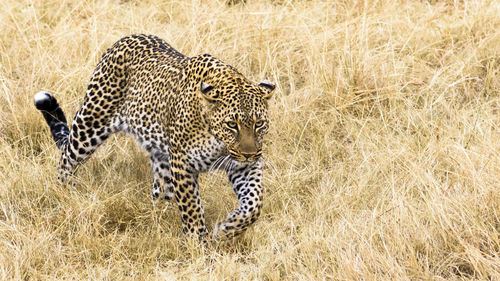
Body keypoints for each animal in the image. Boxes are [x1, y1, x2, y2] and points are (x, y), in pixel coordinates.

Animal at [34, 33, 278, 241]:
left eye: (259, 124)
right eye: (231, 125)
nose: (249, 154)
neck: (218, 140)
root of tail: (123, 40)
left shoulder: (243, 166)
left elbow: (254, 204)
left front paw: (227, 229)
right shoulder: (182, 162)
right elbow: (191, 207)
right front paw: (198, 242)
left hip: (160, 157)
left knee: (160, 190)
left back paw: (159, 215)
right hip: (91, 122)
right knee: (67, 157)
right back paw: (64, 194)